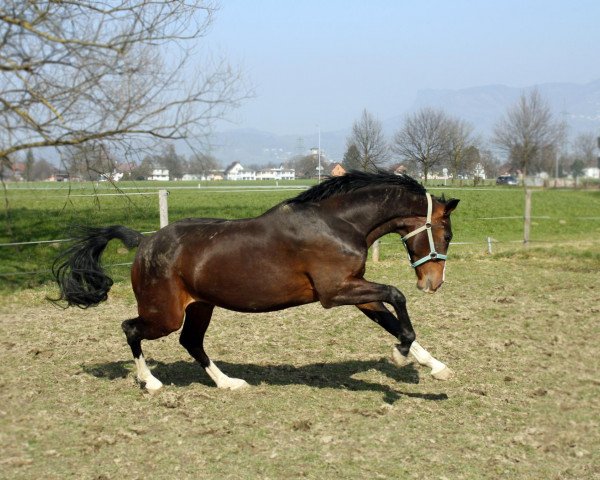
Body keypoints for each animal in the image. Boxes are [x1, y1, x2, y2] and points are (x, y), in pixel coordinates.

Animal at [54, 171, 462, 392]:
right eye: (446, 233)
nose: (433, 283)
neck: (337, 224)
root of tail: (144, 241)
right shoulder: (336, 291)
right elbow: (397, 297)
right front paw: (400, 355)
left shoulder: (356, 289)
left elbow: (392, 320)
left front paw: (435, 366)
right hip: (163, 314)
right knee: (131, 329)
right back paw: (151, 383)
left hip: (199, 306)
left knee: (191, 342)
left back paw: (228, 383)